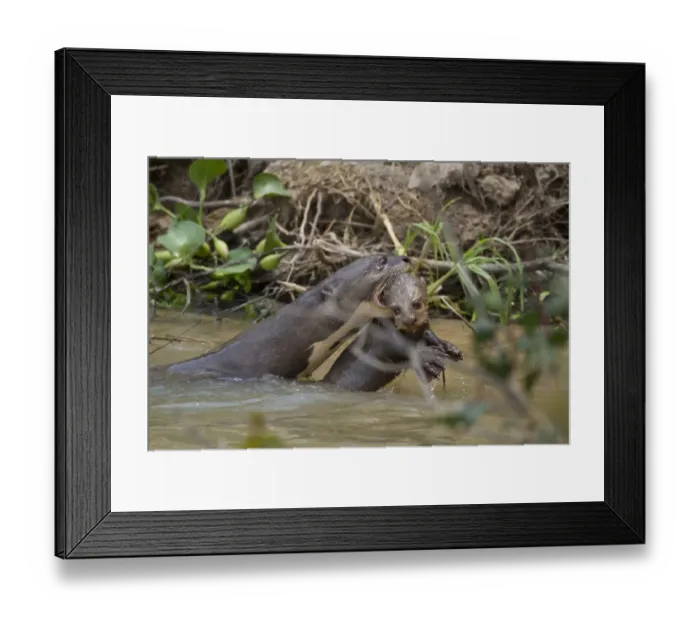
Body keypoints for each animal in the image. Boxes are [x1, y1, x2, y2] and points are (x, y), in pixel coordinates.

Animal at [322, 271, 463, 392]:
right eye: (396, 309)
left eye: (416, 304)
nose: (409, 320)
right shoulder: (387, 340)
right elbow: (401, 349)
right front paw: (429, 358)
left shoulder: (423, 329)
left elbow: (430, 335)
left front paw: (450, 348)